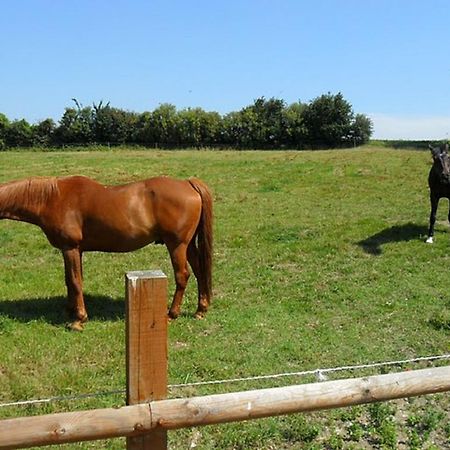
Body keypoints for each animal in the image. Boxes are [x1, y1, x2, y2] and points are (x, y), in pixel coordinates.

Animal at [0, 176, 214, 330]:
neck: (53, 199)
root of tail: (187, 184)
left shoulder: (70, 248)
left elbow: (76, 281)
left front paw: (79, 319)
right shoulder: (73, 250)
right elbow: (70, 280)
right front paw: (70, 310)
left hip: (177, 245)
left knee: (182, 276)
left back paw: (172, 314)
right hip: (188, 245)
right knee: (199, 271)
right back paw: (200, 309)